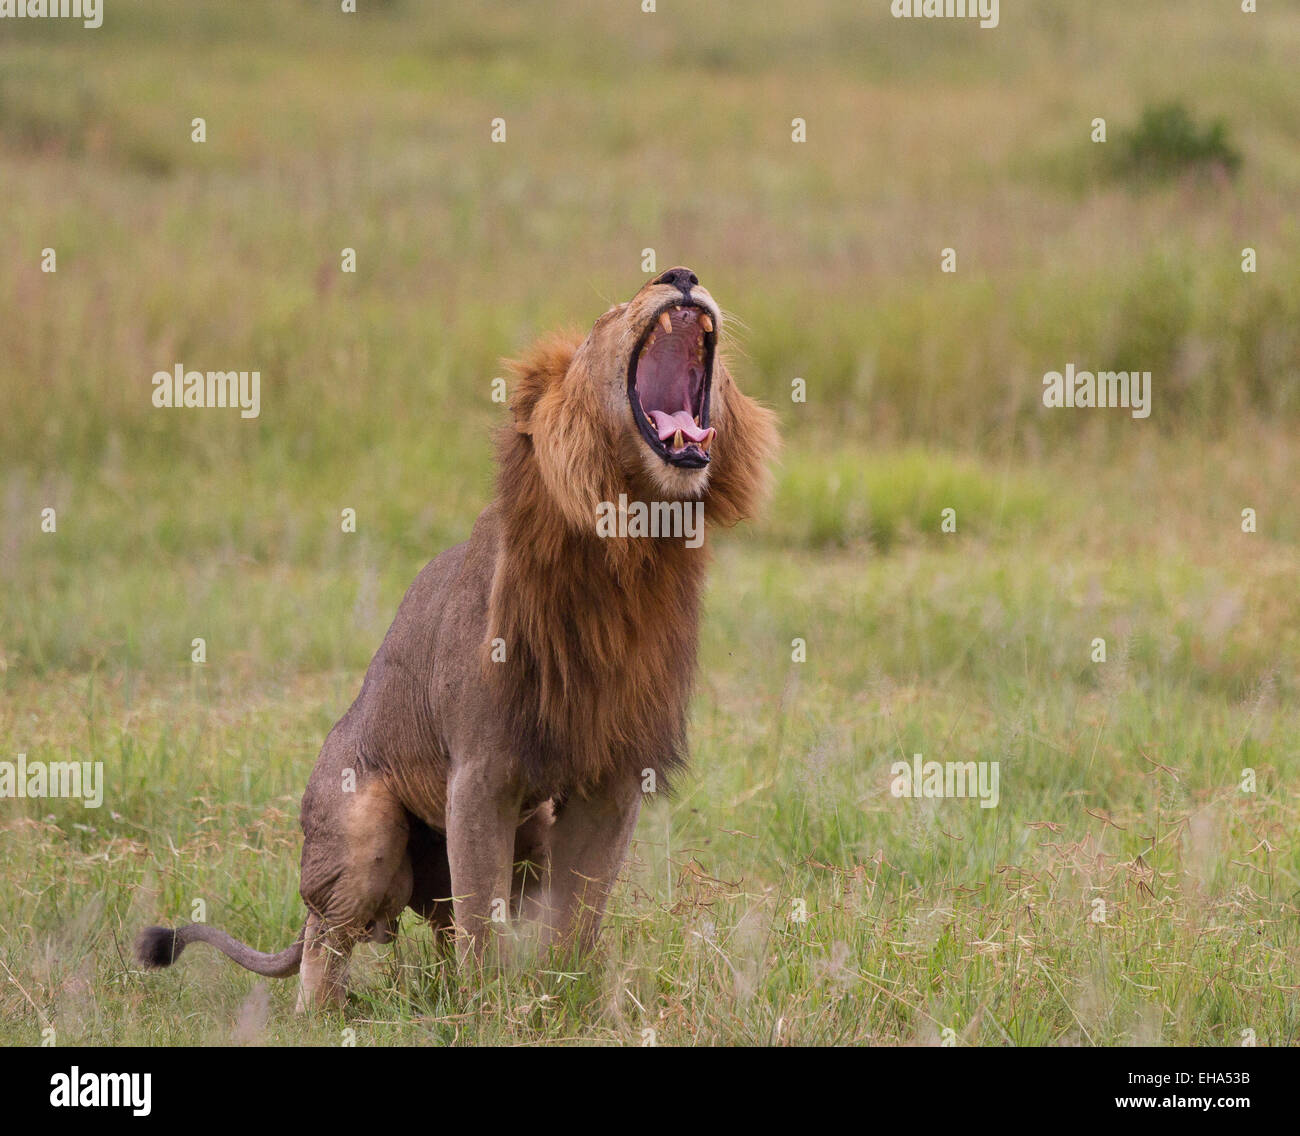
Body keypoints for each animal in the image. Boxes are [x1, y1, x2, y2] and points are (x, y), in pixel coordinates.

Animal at [137, 267, 774, 1008]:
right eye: (609, 315)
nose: (681, 275)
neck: (626, 546)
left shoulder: (613, 773)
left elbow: (576, 914)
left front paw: (562, 996)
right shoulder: (481, 771)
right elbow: (482, 918)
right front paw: (491, 1010)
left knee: (442, 925)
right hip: (363, 827)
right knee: (329, 935)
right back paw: (325, 1014)